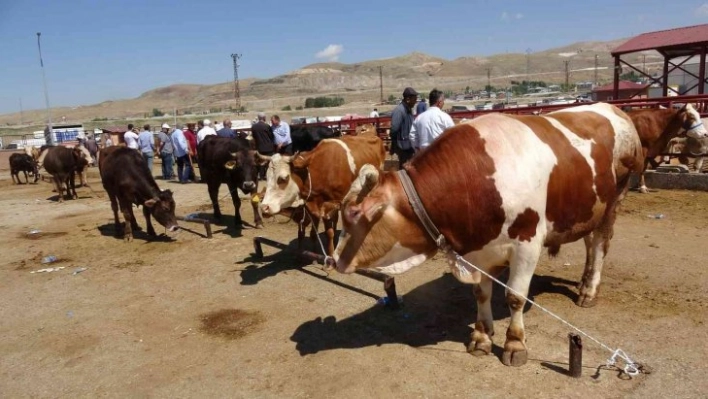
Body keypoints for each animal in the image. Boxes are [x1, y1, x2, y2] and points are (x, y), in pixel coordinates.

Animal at [330, 104, 640, 368]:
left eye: (354, 214)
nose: (334, 259)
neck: (477, 178)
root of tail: (615, 110)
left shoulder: (527, 244)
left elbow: (515, 296)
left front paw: (514, 344)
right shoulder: (476, 251)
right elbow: (481, 293)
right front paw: (481, 336)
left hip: (613, 201)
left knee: (600, 245)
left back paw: (589, 290)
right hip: (589, 209)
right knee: (590, 243)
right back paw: (584, 281)